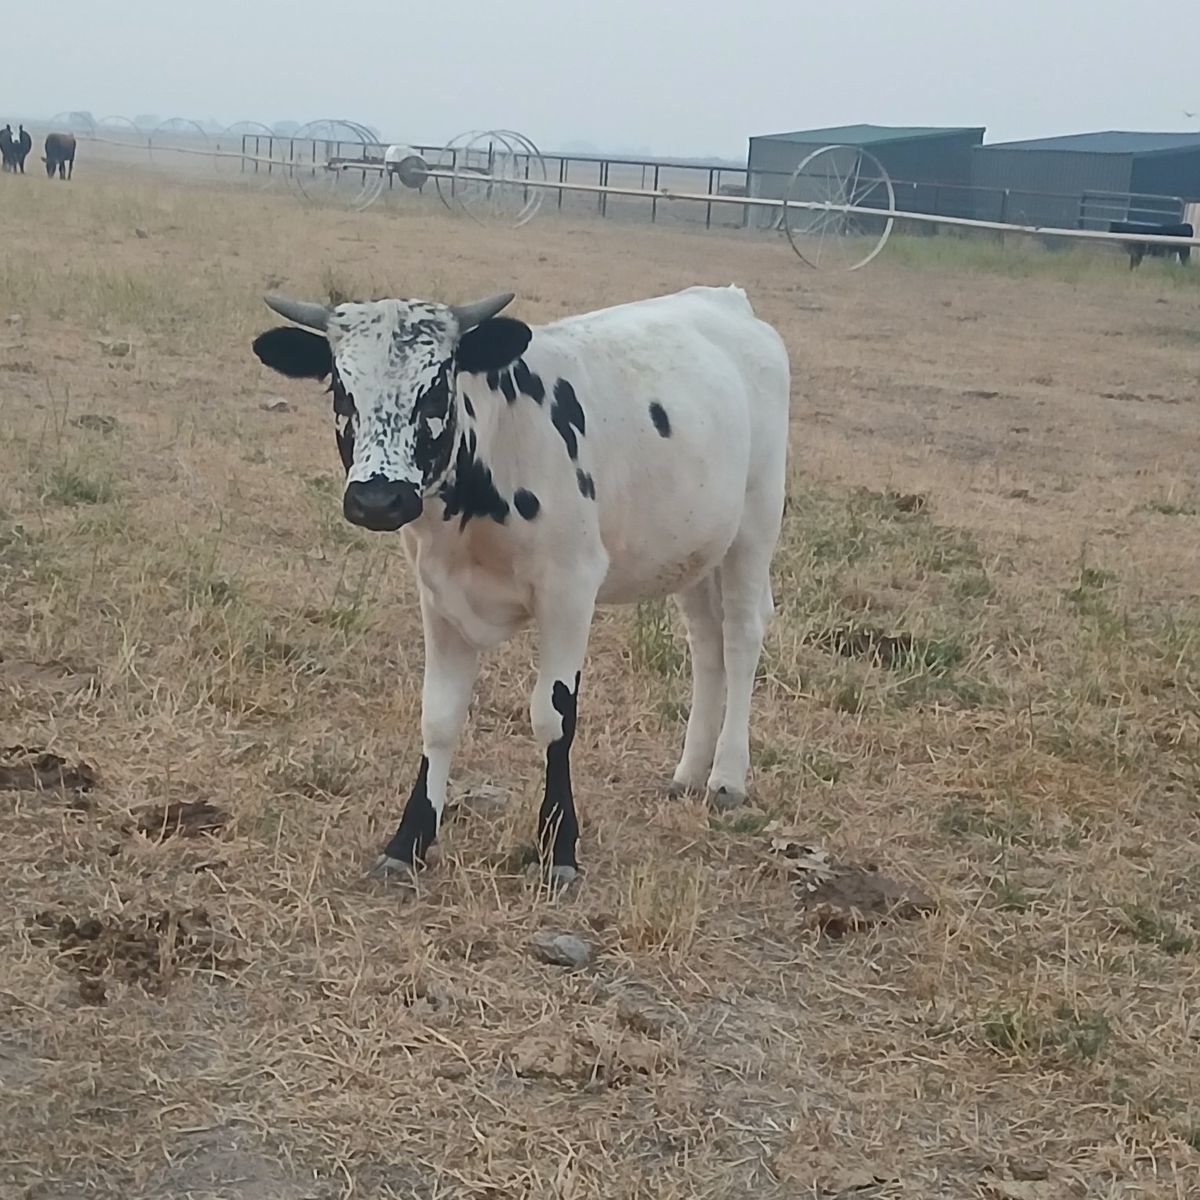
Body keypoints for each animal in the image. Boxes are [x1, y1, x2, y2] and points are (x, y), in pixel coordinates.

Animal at [251, 285, 790, 885]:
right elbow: (439, 716)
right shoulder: (438, 596)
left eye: (436, 387)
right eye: (341, 389)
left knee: (741, 635)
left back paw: (726, 777)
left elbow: (553, 718)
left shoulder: (570, 591)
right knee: (706, 643)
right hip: (694, 550)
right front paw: (408, 841)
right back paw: (690, 770)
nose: (377, 499)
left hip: (754, 527)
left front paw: (559, 848)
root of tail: (726, 299)